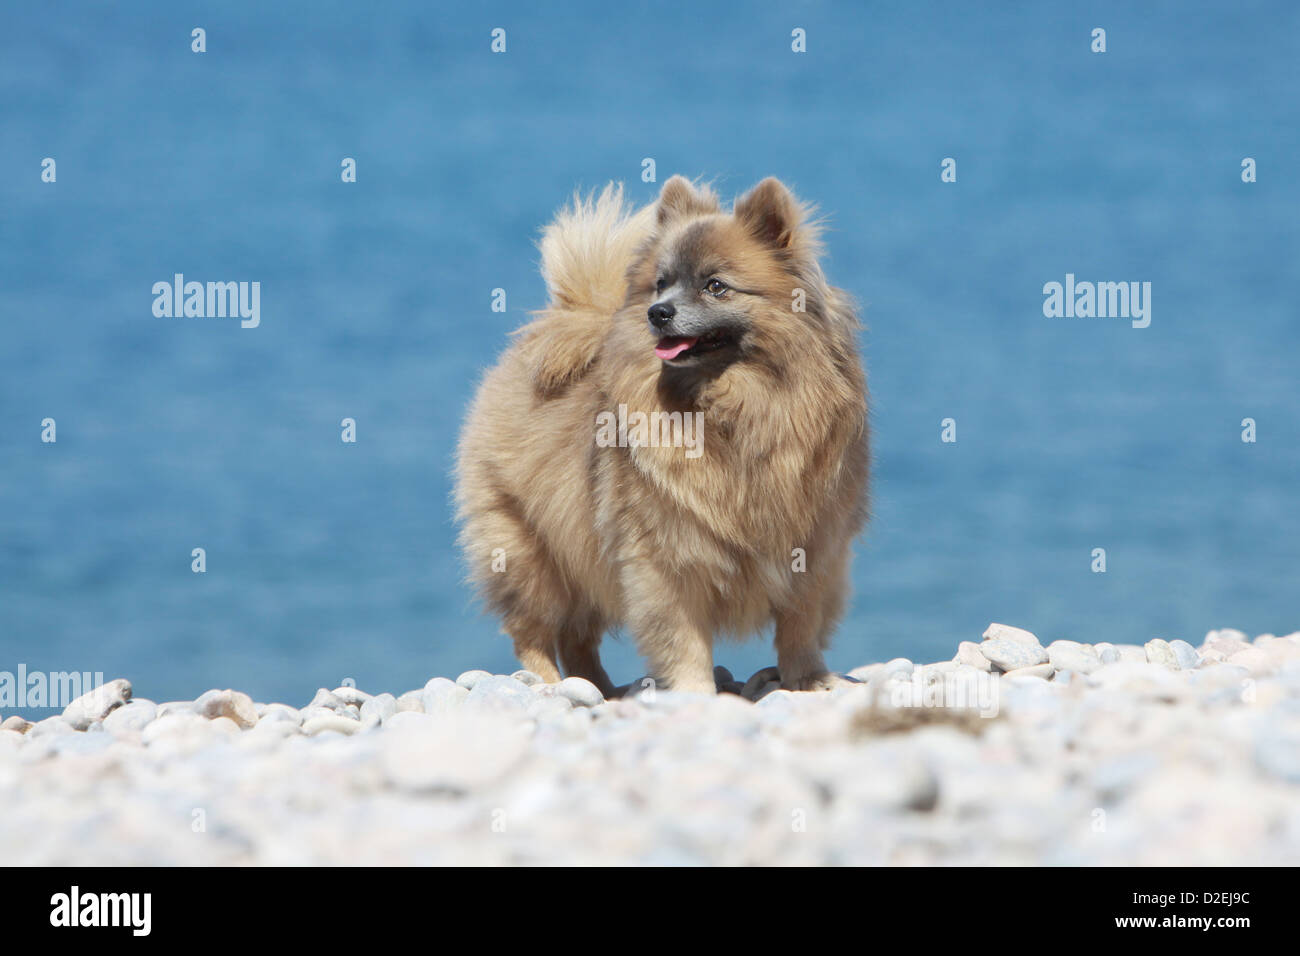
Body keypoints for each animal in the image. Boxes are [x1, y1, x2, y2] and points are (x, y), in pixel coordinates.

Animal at [452, 174, 868, 697]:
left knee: (578, 637)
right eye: (661, 283)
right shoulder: (665, 559)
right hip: (530, 553)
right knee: (533, 630)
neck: (731, 406)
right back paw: (547, 684)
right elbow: (682, 637)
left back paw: (601, 691)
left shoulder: (815, 547)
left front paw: (809, 680)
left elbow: (801, 626)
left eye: (715, 286)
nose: (658, 312)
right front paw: (695, 693)